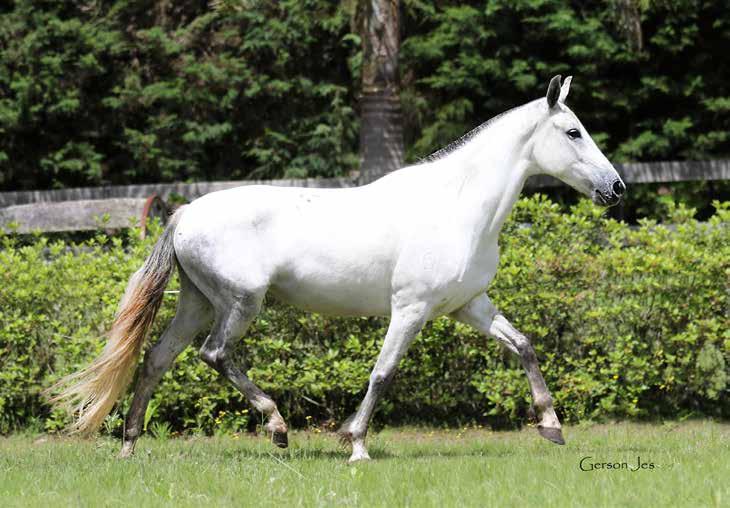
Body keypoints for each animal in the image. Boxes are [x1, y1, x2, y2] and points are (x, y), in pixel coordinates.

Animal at [48, 75, 624, 460]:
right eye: (573, 132)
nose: (616, 188)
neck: (458, 206)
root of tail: (186, 212)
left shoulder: (468, 306)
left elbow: (524, 345)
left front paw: (551, 425)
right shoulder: (411, 308)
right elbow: (383, 373)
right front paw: (356, 444)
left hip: (197, 303)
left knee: (155, 361)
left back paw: (129, 447)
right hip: (240, 304)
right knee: (214, 355)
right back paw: (278, 427)